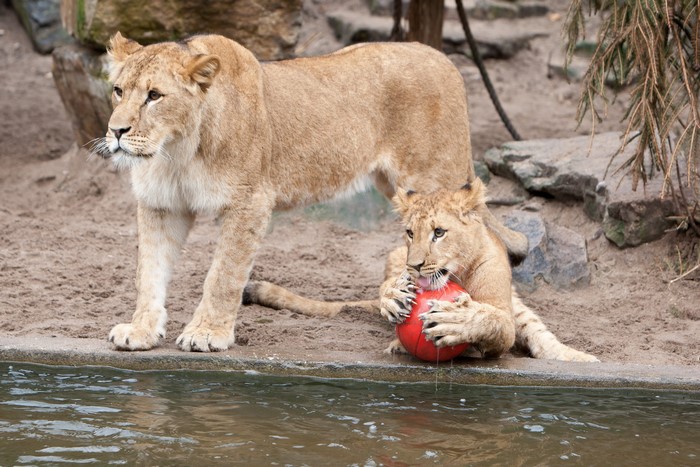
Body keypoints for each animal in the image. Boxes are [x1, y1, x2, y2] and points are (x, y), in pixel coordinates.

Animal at [99, 32, 528, 352]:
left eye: (154, 95)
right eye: (118, 91)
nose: (116, 131)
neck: (176, 150)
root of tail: (444, 60)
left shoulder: (250, 202)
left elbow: (223, 275)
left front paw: (207, 333)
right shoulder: (160, 204)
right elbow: (149, 272)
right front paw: (141, 331)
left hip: (436, 179)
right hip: (396, 186)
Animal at [245, 179, 599, 362]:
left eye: (439, 233)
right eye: (410, 232)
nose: (415, 265)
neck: (457, 273)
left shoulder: (503, 314)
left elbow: (492, 319)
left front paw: (457, 321)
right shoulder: (398, 254)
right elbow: (387, 287)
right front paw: (394, 297)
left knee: (538, 332)